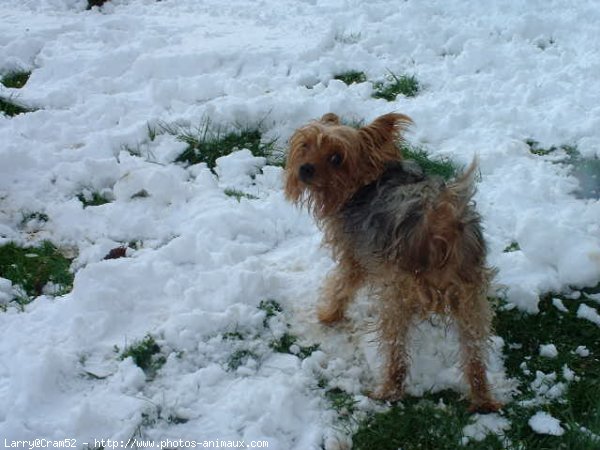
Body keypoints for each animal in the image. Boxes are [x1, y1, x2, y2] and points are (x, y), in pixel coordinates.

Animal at [286, 113, 502, 414]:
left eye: (336, 158)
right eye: (306, 145)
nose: (305, 169)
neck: (365, 183)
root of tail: (441, 225)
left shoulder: (355, 258)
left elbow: (341, 286)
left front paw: (328, 315)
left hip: (397, 295)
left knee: (396, 350)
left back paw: (387, 390)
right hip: (470, 296)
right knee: (474, 350)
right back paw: (483, 398)